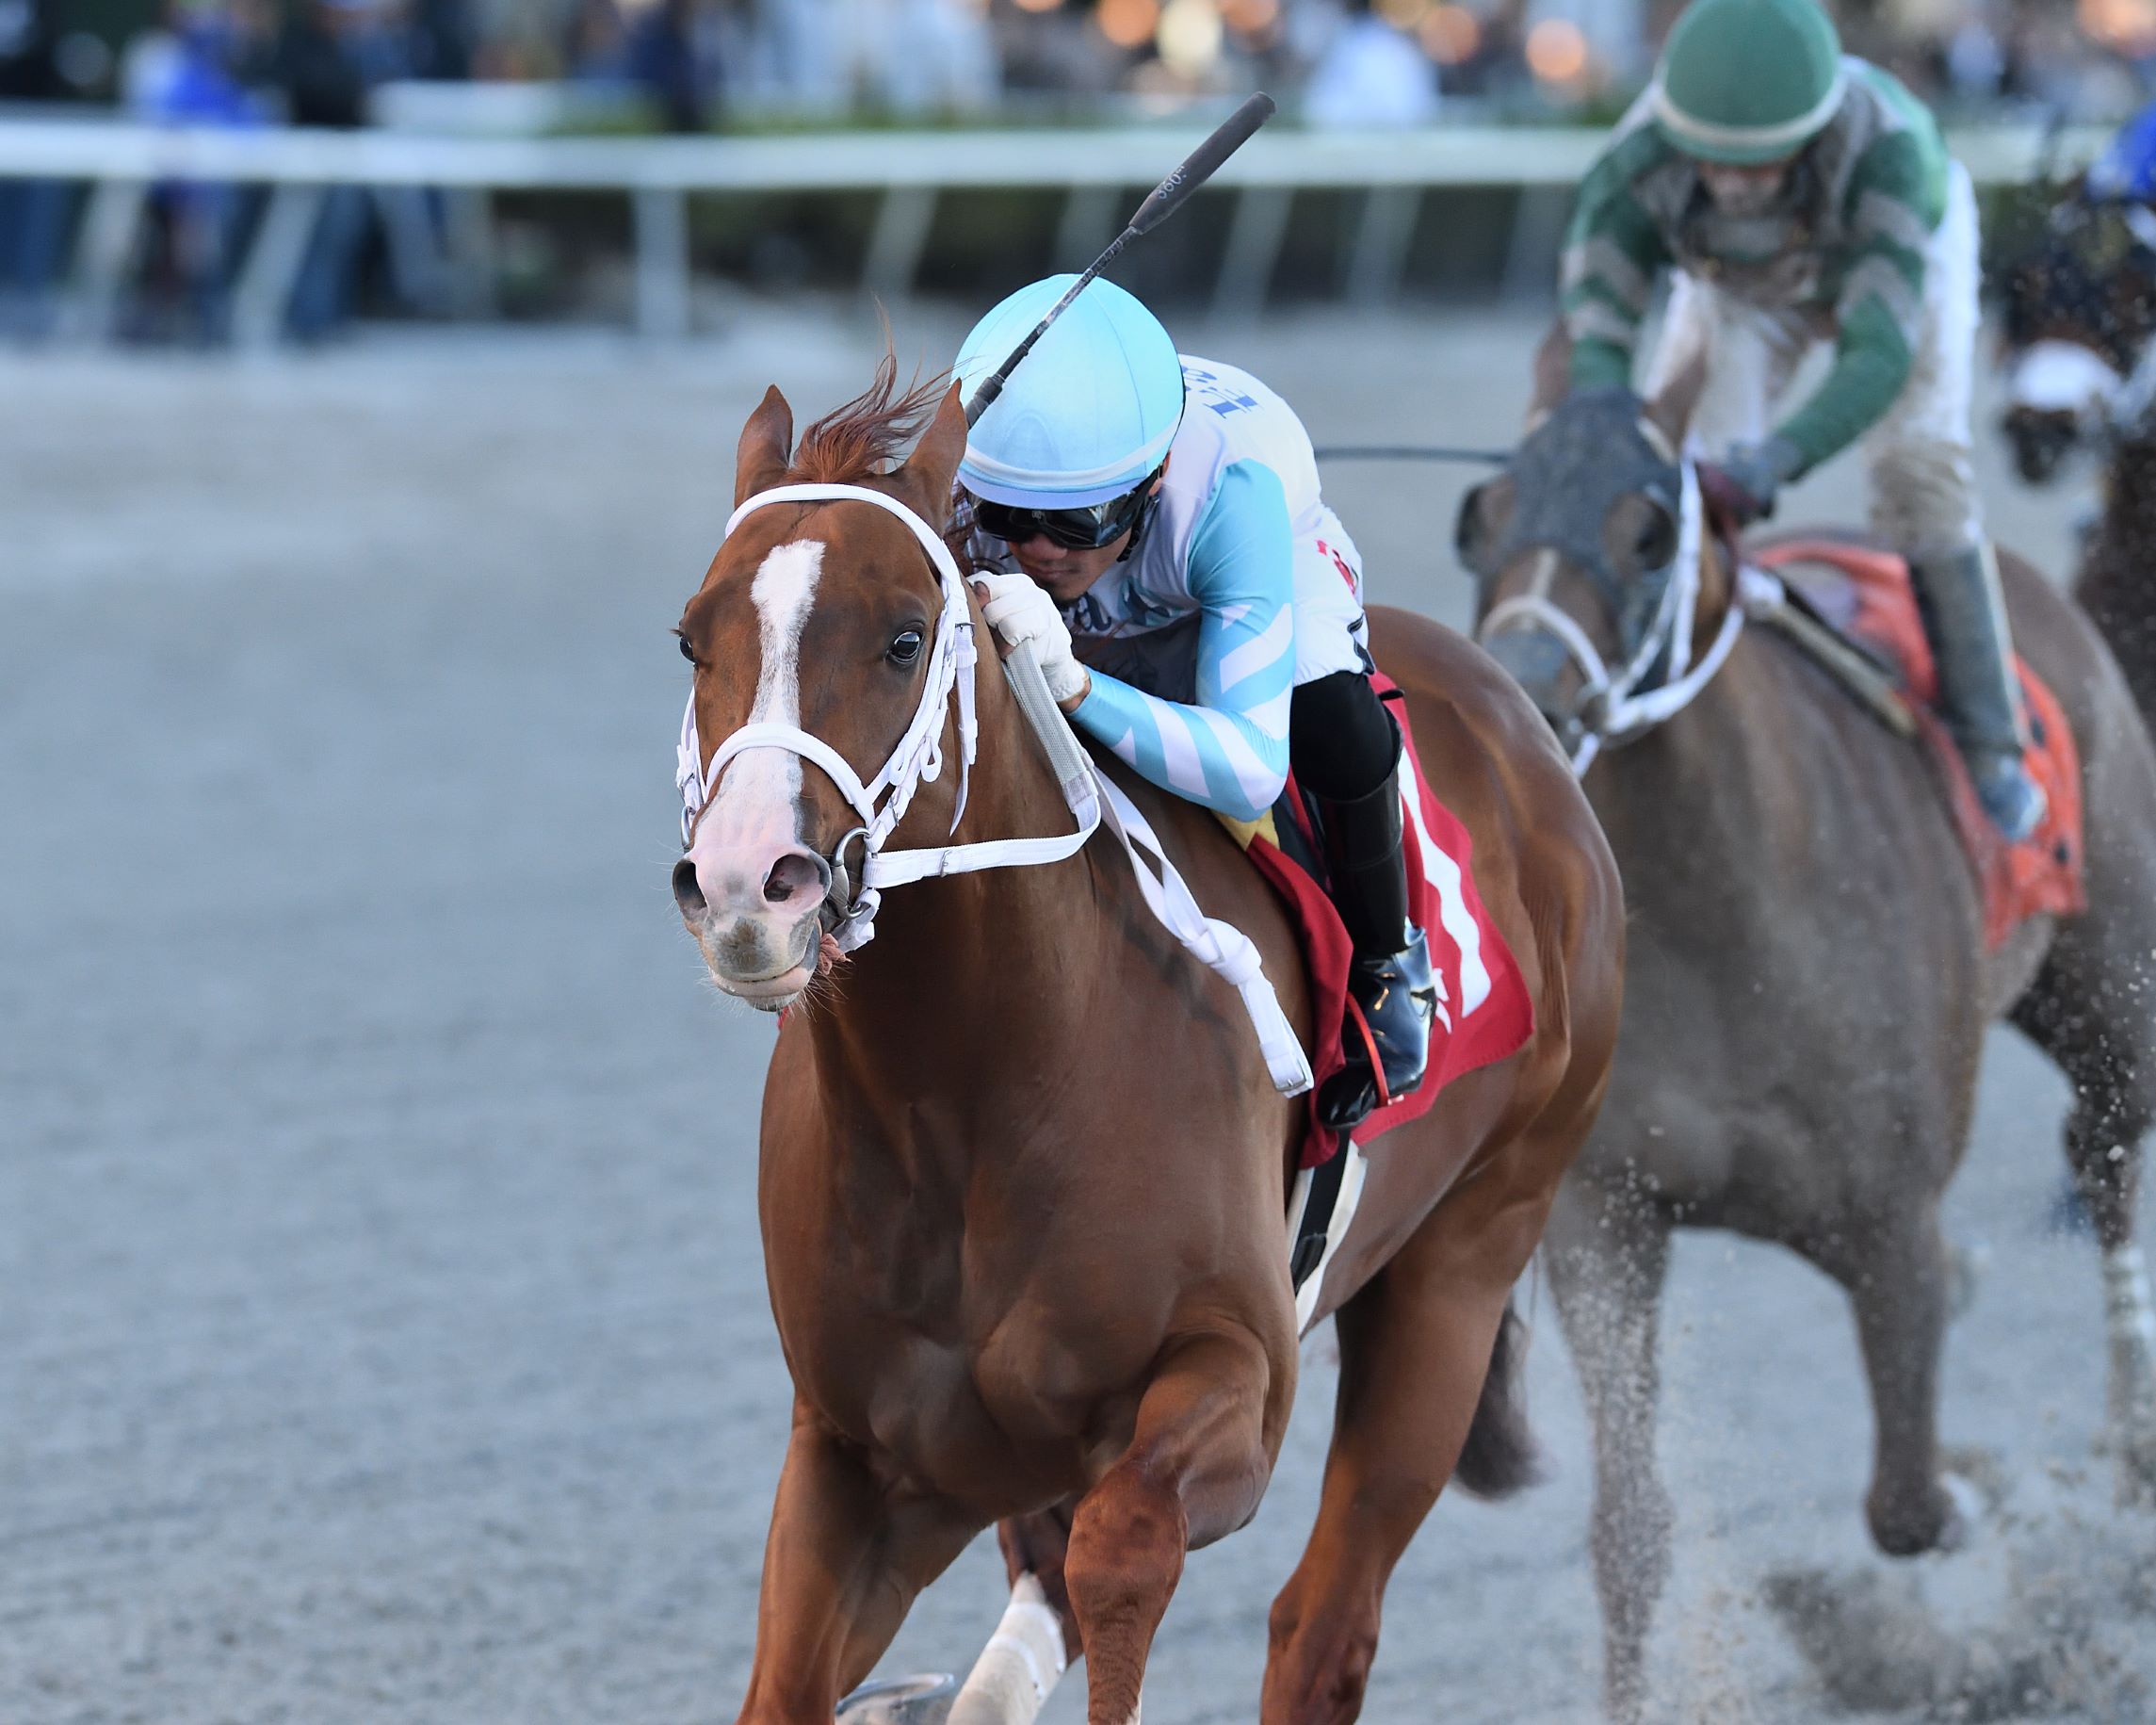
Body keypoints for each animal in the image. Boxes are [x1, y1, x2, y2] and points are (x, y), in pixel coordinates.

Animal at [668, 357, 1625, 1724]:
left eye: (905, 637)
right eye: (694, 638)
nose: (750, 885)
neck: (973, 1092)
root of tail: (1521, 726)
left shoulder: (1235, 1383)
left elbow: (1122, 1547)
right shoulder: (869, 1458)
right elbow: (793, 1682)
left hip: (1465, 1259)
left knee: (1320, 1624)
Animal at [1462, 327, 2156, 1723]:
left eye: (1643, 530)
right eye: (1485, 516)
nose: (1524, 693)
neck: (1724, 911)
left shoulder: (1889, 1218)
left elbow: (1908, 1501)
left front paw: (1986, 1502)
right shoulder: (1607, 1217)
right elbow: (1633, 1527)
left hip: (2114, 979)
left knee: (2106, 1148)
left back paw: (2127, 1432)